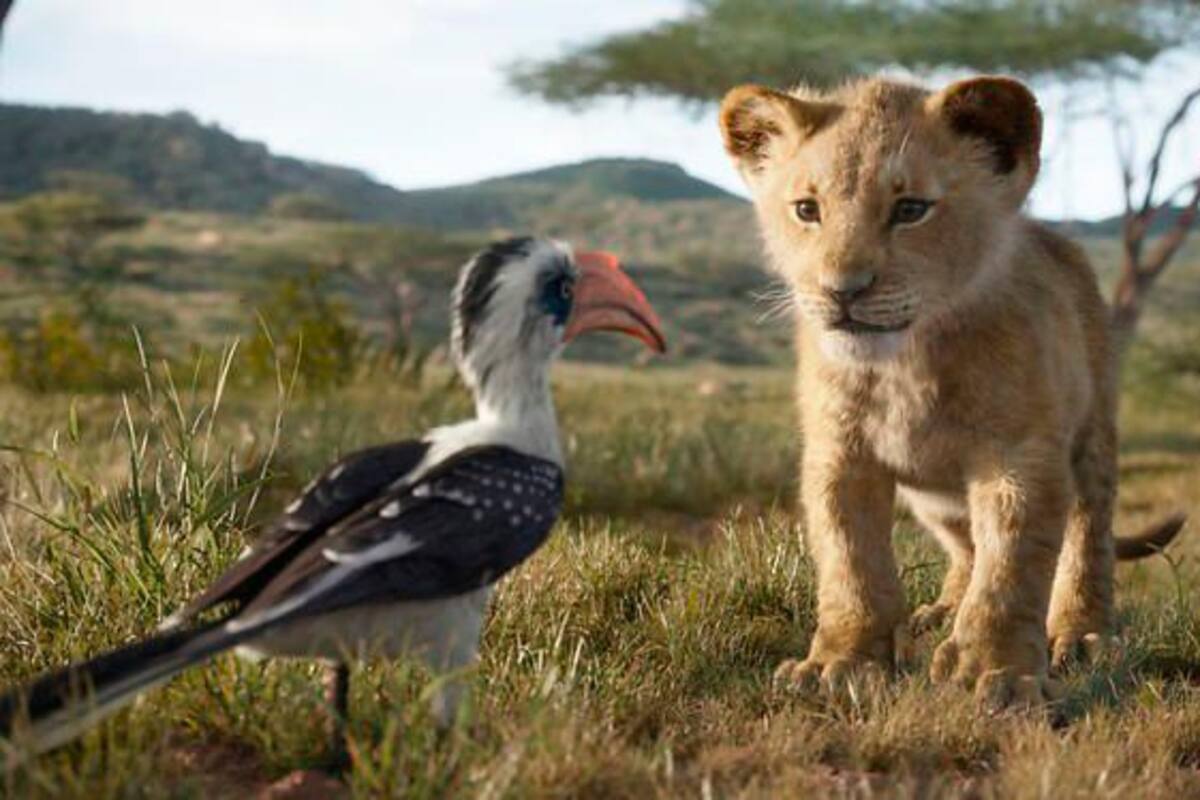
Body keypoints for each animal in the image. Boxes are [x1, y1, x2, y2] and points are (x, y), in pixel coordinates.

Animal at [718, 75, 1185, 709]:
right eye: (807, 210)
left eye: (910, 209)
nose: (843, 291)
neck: (905, 364)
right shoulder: (839, 455)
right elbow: (850, 562)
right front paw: (840, 663)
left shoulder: (1020, 456)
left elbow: (1011, 569)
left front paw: (999, 673)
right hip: (933, 498)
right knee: (965, 546)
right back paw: (940, 612)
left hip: (1093, 436)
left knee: (1088, 537)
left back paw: (1081, 634)